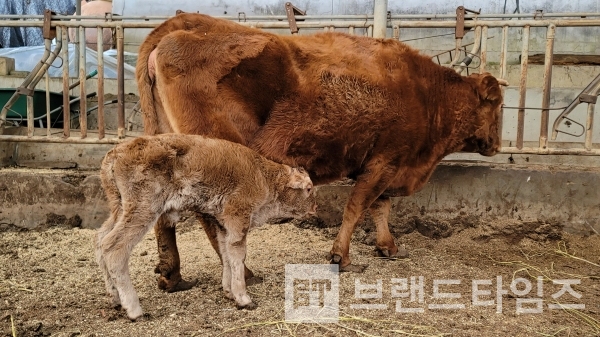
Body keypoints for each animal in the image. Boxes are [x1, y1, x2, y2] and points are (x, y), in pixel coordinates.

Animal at [94, 133, 316, 318]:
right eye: (309, 188)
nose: (314, 209)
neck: (264, 176)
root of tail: (114, 154)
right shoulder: (237, 219)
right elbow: (238, 255)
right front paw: (244, 299)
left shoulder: (221, 224)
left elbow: (226, 255)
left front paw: (229, 292)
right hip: (143, 210)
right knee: (114, 247)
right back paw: (134, 310)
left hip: (119, 208)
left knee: (100, 240)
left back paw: (114, 299)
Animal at [135, 12, 506, 292]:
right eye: (497, 105)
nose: (497, 145)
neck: (427, 94)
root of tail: (181, 25)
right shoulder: (384, 162)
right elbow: (358, 207)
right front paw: (341, 257)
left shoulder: (385, 165)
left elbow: (380, 207)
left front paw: (388, 247)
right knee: (211, 216)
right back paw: (245, 274)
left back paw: (172, 276)